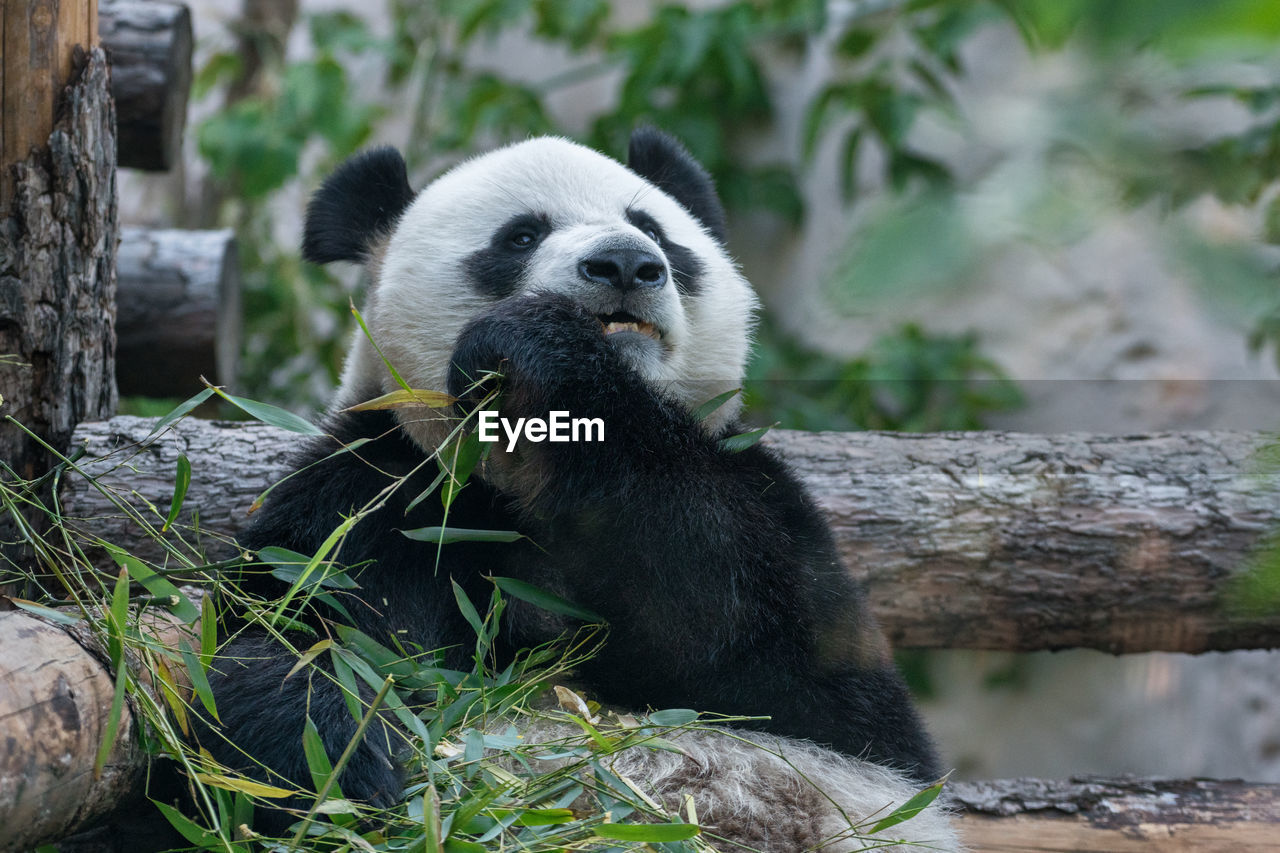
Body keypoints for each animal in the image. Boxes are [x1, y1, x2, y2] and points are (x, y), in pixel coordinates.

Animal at [202, 128, 962, 850]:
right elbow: (280, 627)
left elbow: (757, 630)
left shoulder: (769, 503)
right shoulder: (382, 495)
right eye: (520, 235)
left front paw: (544, 351)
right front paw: (338, 753)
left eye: (653, 228)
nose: (625, 263)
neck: (529, 477)